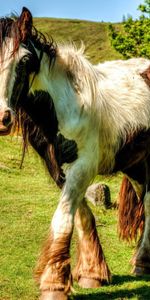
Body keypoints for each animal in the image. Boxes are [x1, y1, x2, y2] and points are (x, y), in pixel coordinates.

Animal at [0, 6, 150, 298]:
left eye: (25, 60)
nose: (2, 118)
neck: (66, 105)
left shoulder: (83, 167)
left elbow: (63, 218)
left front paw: (54, 284)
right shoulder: (60, 169)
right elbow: (81, 216)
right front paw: (92, 273)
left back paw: (142, 261)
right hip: (136, 166)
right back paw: (141, 263)